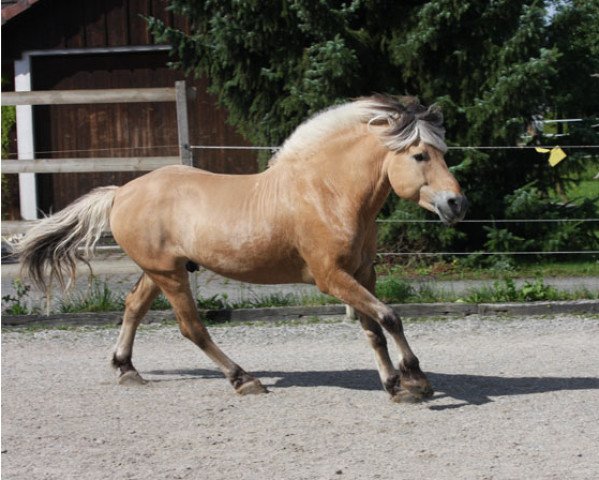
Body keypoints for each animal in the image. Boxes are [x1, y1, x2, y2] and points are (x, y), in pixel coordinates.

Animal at [16, 94, 468, 402]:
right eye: (420, 154)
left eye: (443, 152)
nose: (456, 204)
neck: (327, 192)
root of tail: (122, 192)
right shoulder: (331, 277)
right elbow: (389, 317)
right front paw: (413, 381)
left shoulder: (361, 274)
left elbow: (374, 328)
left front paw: (398, 383)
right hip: (169, 274)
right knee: (191, 327)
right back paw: (243, 379)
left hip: (160, 271)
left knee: (132, 308)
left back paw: (127, 370)